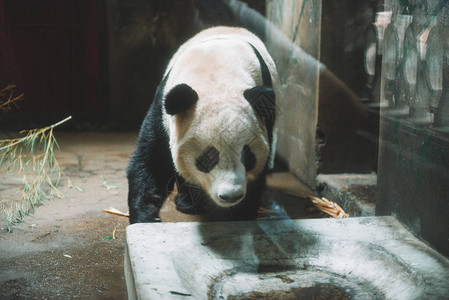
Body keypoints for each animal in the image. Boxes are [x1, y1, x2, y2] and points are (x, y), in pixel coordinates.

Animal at [126, 26, 278, 223]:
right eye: (208, 158)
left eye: (248, 156)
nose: (230, 196)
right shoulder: (163, 111)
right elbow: (152, 161)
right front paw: (146, 218)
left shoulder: (265, 119)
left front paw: (242, 213)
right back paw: (186, 202)